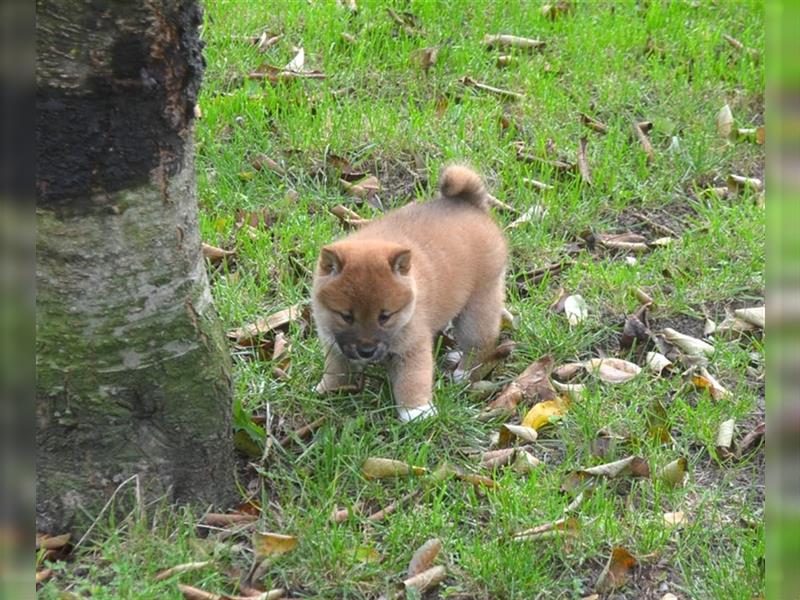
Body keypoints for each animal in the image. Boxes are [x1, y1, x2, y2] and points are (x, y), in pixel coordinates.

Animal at [310, 164, 506, 422]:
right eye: (346, 316)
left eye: (385, 316)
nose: (366, 351)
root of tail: (469, 203)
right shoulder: (333, 342)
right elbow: (335, 369)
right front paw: (327, 390)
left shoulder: (412, 346)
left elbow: (412, 380)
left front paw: (416, 412)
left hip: (477, 307)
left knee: (480, 343)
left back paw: (464, 371)